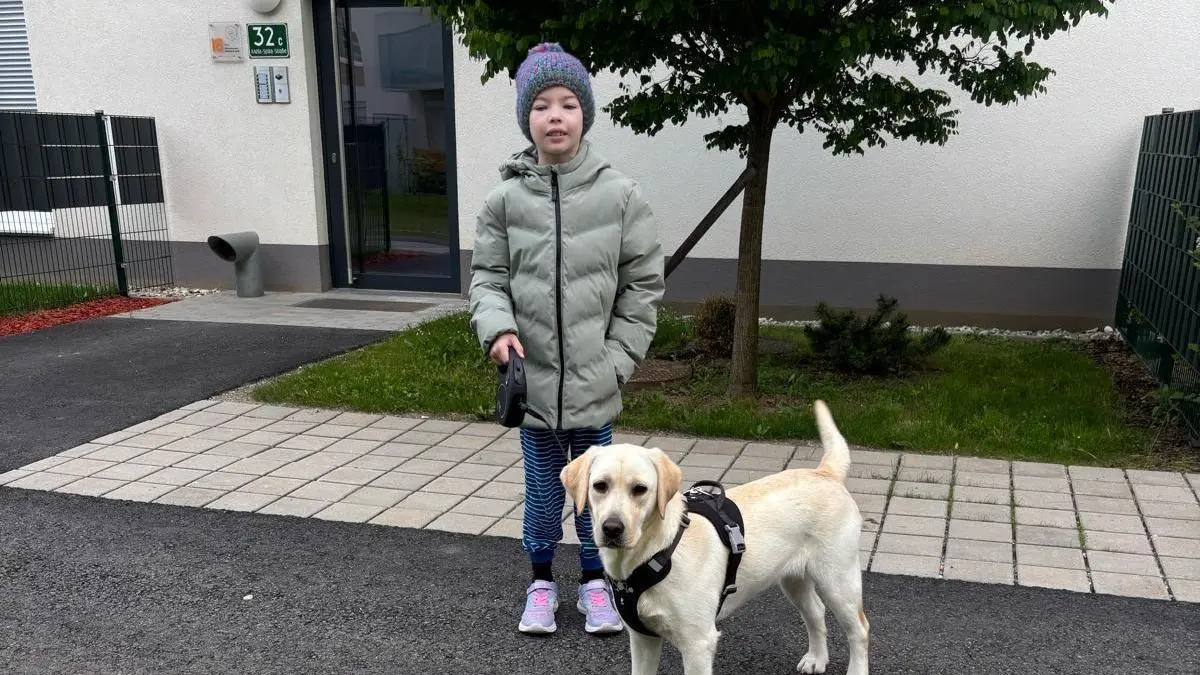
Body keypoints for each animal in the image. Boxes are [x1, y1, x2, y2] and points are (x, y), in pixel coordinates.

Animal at [560, 400, 869, 675]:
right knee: (816, 612)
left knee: (860, 631)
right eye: (600, 485)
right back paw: (816, 659)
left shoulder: (698, 644)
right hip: (794, 580)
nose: (612, 528)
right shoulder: (642, 638)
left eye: (640, 489)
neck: (656, 553)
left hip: (838, 580)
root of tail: (825, 473)